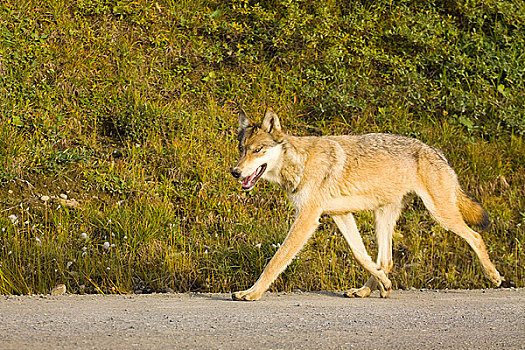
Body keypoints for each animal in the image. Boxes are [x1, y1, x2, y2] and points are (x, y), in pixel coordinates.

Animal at [230, 108, 504, 300]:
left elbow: (276, 261)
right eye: (242, 149)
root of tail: (436, 150)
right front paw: (383, 283)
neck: (301, 162)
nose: (234, 172)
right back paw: (368, 289)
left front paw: (251, 293)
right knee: (387, 260)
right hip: (382, 217)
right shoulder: (341, 215)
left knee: (476, 236)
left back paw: (493, 276)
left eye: (258, 150)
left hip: (441, 215)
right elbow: (361, 255)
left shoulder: (308, 218)